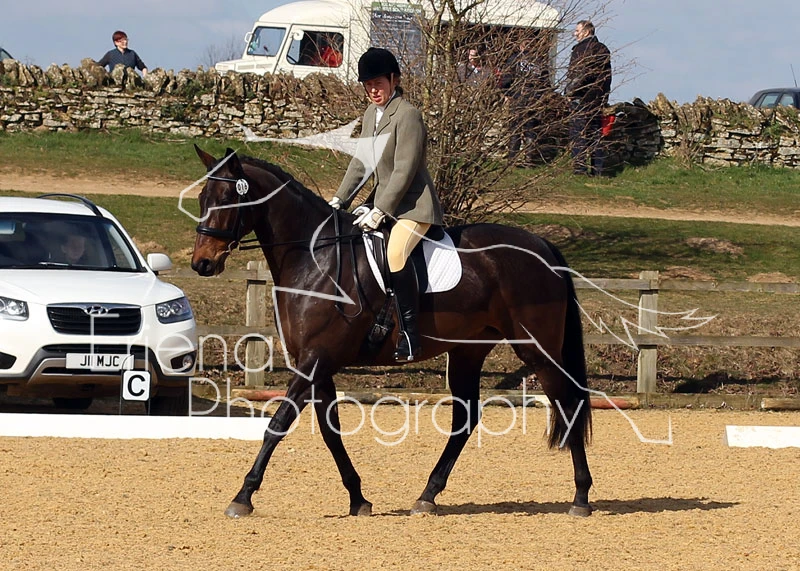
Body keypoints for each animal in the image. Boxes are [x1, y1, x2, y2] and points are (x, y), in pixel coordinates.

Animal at [190, 145, 593, 518]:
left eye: (226, 199)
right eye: (202, 199)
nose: (202, 263)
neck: (316, 260)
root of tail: (541, 246)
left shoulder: (314, 360)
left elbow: (279, 422)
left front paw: (243, 496)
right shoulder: (317, 363)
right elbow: (330, 430)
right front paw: (358, 498)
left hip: (537, 349)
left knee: (568, 405)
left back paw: (581, 497)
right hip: (467, 350)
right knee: (465, 418)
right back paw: (427, 496)